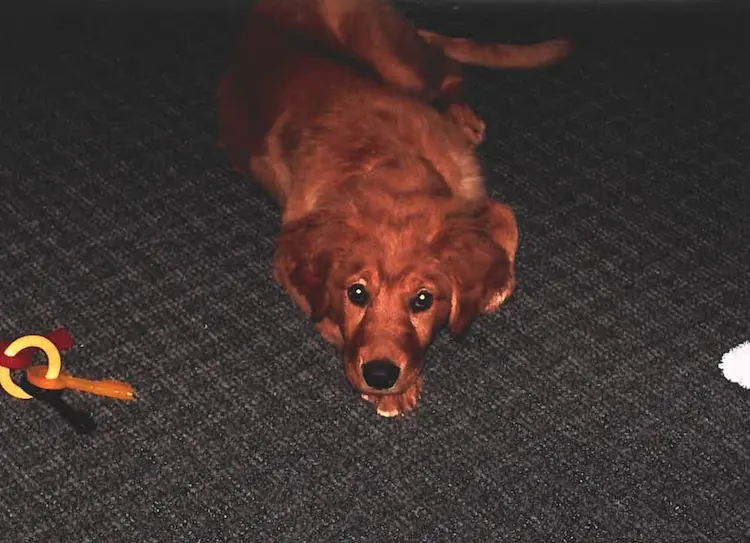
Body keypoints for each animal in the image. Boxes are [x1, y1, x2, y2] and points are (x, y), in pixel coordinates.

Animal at [220, 0, 572, 416]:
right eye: (357, 294)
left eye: (422, 300)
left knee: (446, 68)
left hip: (392, 56)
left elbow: (505, 216)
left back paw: (461, 113)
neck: (383, 161)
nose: (380, 375)